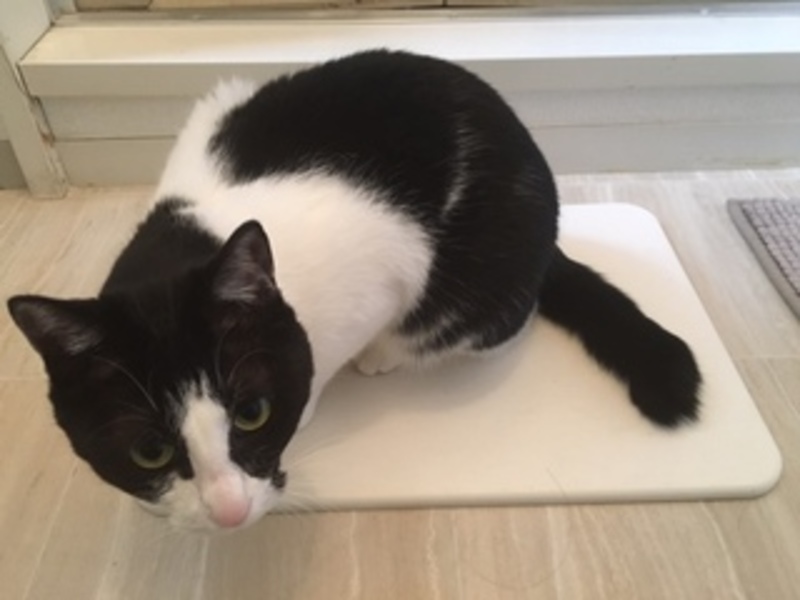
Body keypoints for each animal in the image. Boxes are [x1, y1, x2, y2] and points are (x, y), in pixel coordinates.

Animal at [7, 49, 701, 532]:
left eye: (252, 413)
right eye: (148, 451)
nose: (227, 511)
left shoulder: (388, 263)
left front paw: (335, 383)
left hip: (490, 276)